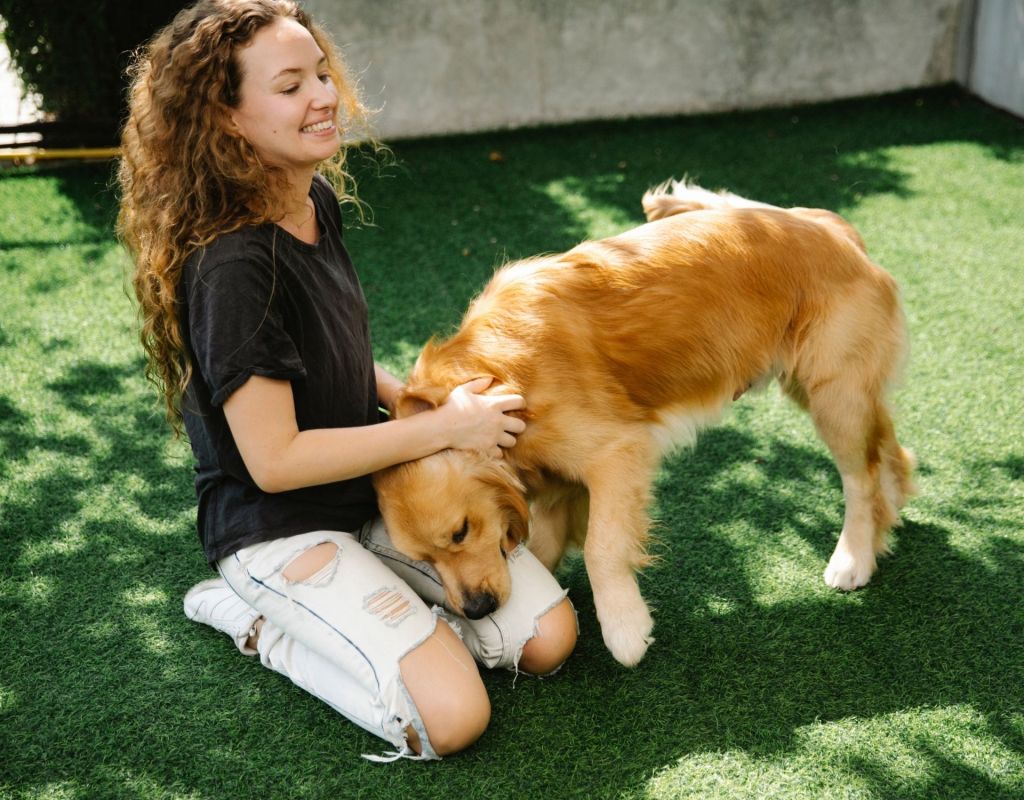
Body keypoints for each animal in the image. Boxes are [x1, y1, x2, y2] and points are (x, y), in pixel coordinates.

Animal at [372, 178, 917, 663]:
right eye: (421, 559)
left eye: (461, 532)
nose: (477, 609)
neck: (495, 377)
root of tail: (832, 228)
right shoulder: (555, 487)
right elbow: (546, 549)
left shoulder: (616, 452)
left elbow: (602, 545)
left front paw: (624, 627)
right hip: (826, 389)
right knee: (888, 449)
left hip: (833, 393)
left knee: (860, 477)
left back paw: (853, 557)